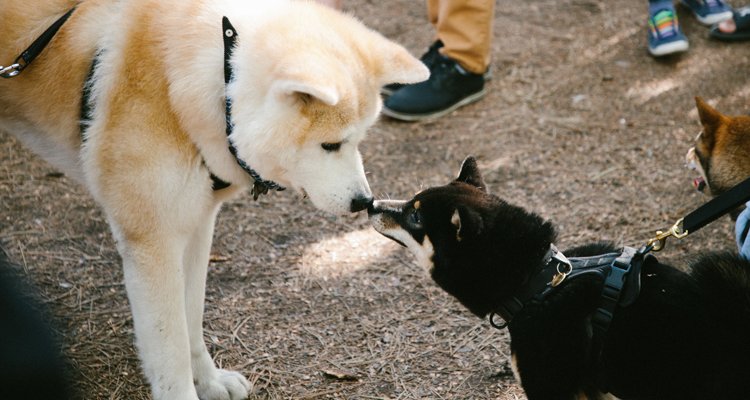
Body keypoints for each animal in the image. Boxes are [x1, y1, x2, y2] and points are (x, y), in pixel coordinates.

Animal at [0, 0, 428, 400]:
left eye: (360, 139)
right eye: (331, 145)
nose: (364, 202)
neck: (215, 83)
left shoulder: (196, 226)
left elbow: (191, 321)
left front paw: (209, 381)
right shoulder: (153, 245)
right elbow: (170, 346)